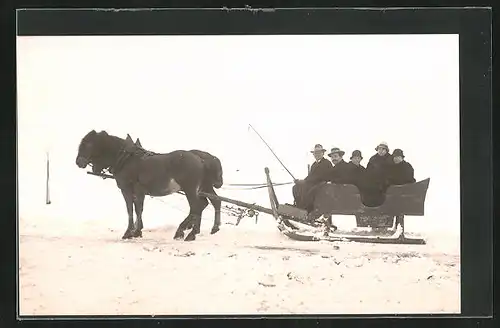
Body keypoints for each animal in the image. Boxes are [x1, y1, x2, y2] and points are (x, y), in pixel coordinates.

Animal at [75, 130, 224, 241]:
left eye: (87, 144)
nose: (78, 161)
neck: (126, 160)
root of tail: (201, 159)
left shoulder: (127, 189)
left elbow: (131, 210)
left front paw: (130, 232)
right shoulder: (139, 192)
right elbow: (138, 209)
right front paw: (137, 231)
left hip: (190, 189)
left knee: (197, 207)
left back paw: (188, 232)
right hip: (203, 187)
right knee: (210, 203)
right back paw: (208, 228)